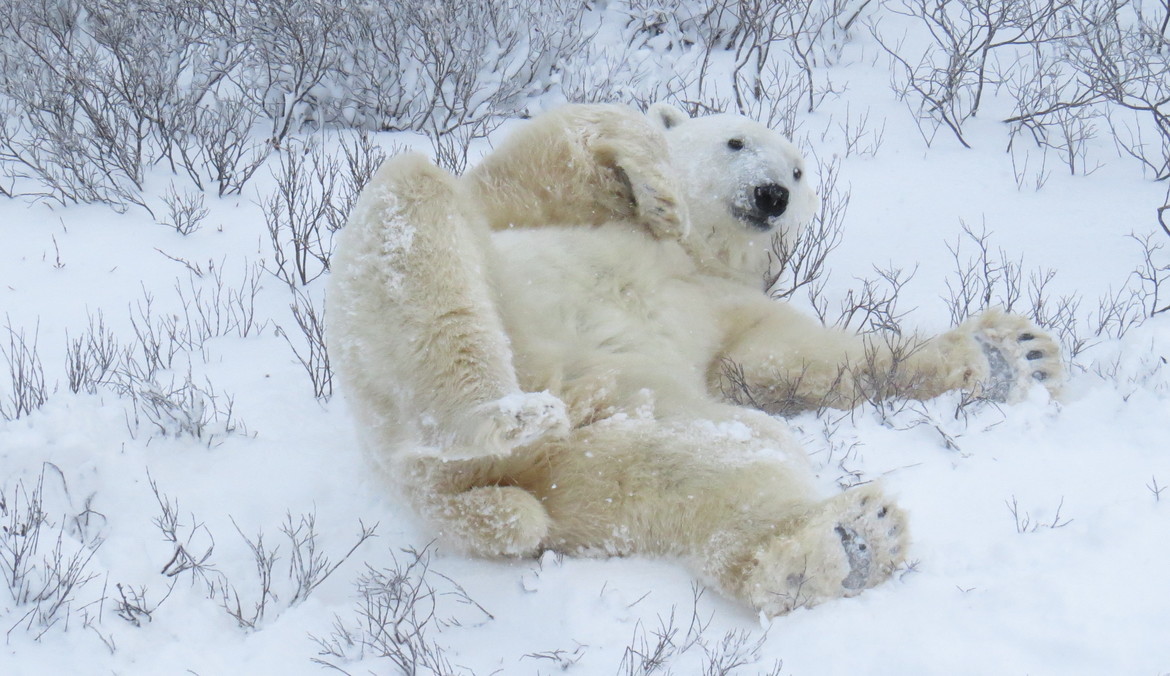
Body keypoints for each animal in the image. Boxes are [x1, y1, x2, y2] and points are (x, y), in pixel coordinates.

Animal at [326, 103, 1063, 617]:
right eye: (735, 141)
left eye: (798, 171)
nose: (772, 194)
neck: (697, 257)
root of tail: (453, 495)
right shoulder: (554, 214)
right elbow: (541, 160)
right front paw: (656, 184)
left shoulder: (726, 305)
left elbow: (796, 359)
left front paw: (1012, 355)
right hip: (415, 348)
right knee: (411, 200)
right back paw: (495, 413)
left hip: (592, 455)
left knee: (717, 461)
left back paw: (845, 543)